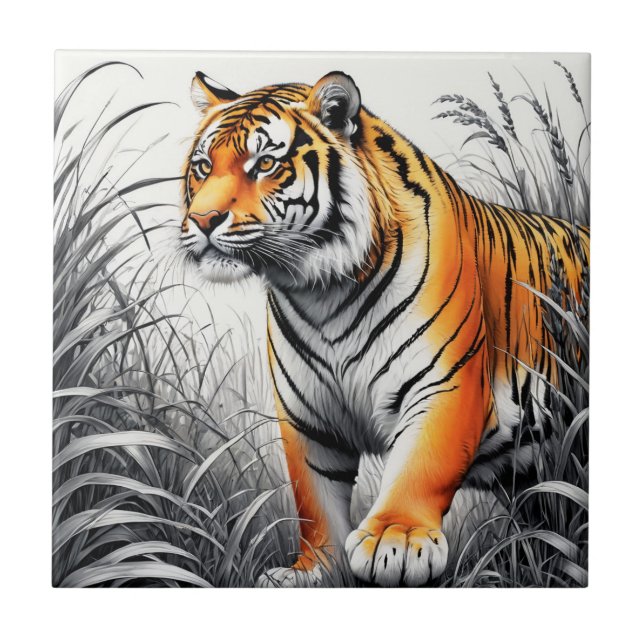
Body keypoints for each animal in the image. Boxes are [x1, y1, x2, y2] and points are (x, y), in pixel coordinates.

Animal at [180, 70, 590, 587]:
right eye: (202, 166)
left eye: (266, 164)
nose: (202, 220)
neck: (323, 293)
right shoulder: (307, 418)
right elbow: (314, 499)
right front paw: (315, 570)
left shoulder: (445, 385)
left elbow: (420, 467)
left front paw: (397, 541)